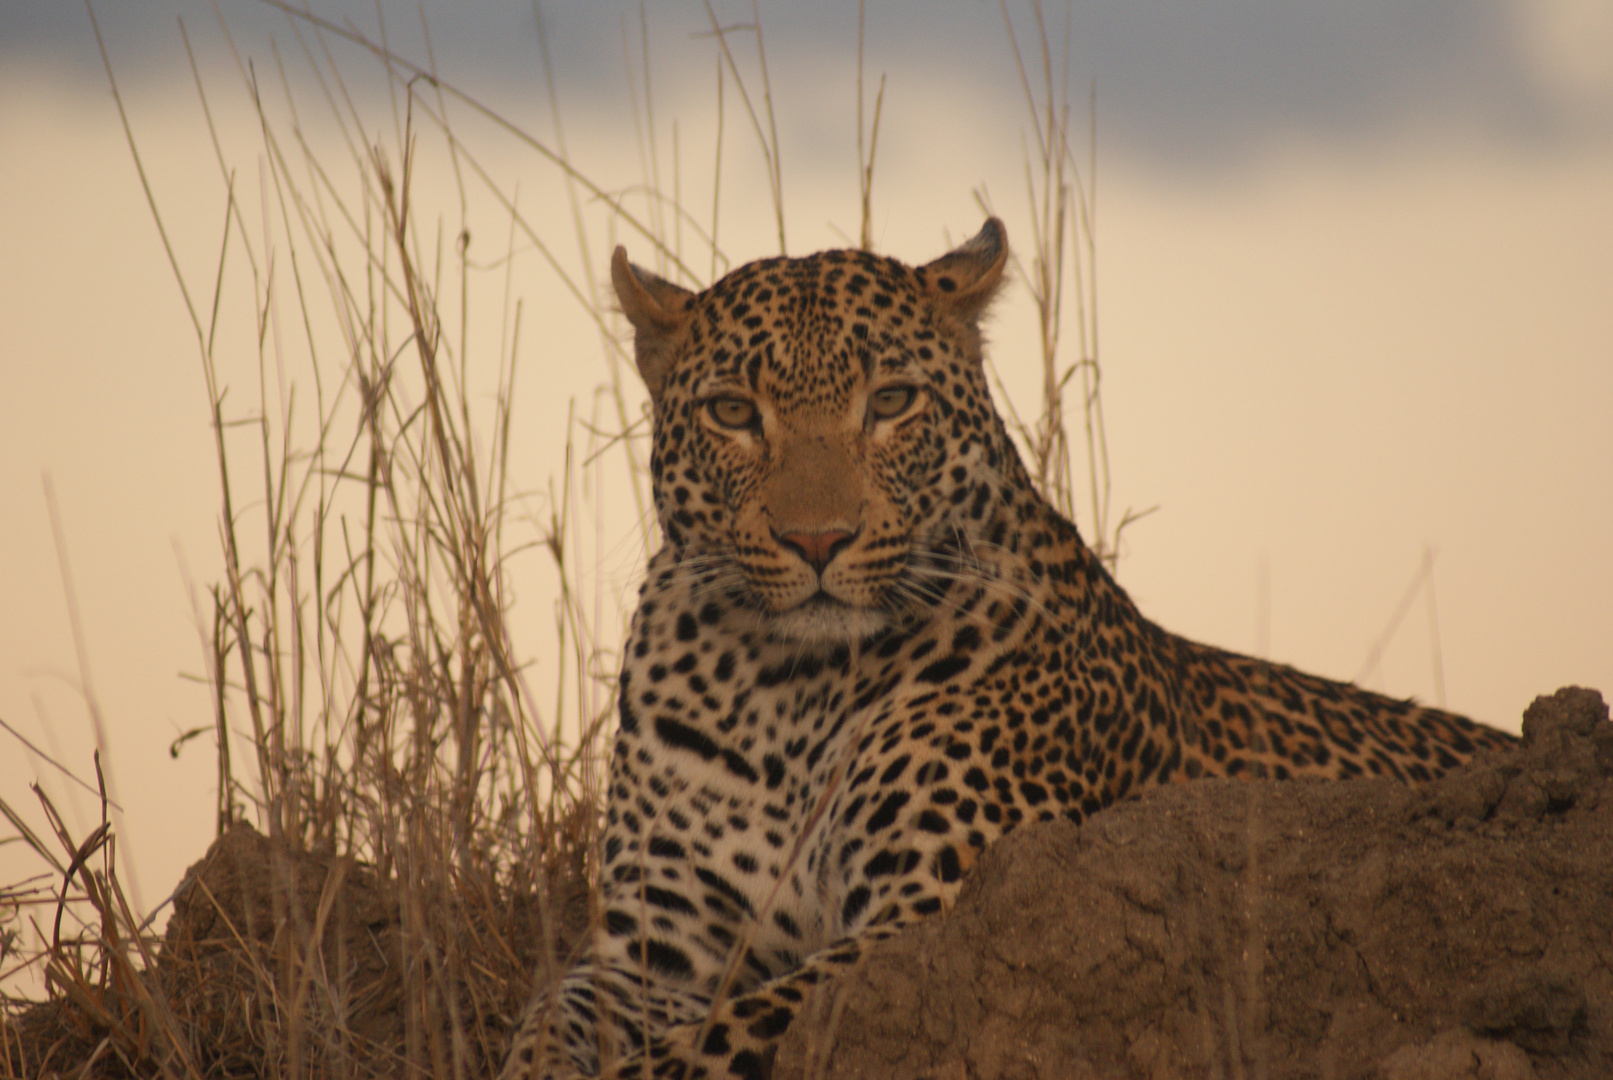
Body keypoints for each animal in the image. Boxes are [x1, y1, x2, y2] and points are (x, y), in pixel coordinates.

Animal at [496, 219, 1516, 1080]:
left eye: (891, 402)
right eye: (734, 413)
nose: (817, 540)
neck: (783, 688)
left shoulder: (926, 917)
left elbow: (707, 1043)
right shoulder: (655, 950)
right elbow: (545, 1022)